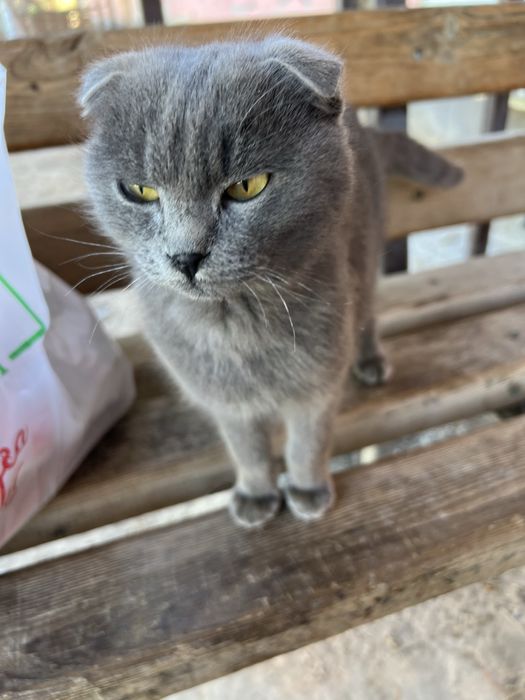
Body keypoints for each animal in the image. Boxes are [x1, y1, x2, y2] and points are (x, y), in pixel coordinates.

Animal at [78, 38, 462, 527]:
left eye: (248, 187)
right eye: (140, 191)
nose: (186, 256)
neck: (238, 328)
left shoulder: (318, 379)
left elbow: (307, 441)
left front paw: (307, 488)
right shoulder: (222, 397)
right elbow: (247, 449)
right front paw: (257, 494)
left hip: (366, 250)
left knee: (368, 311)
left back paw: (371, 360)